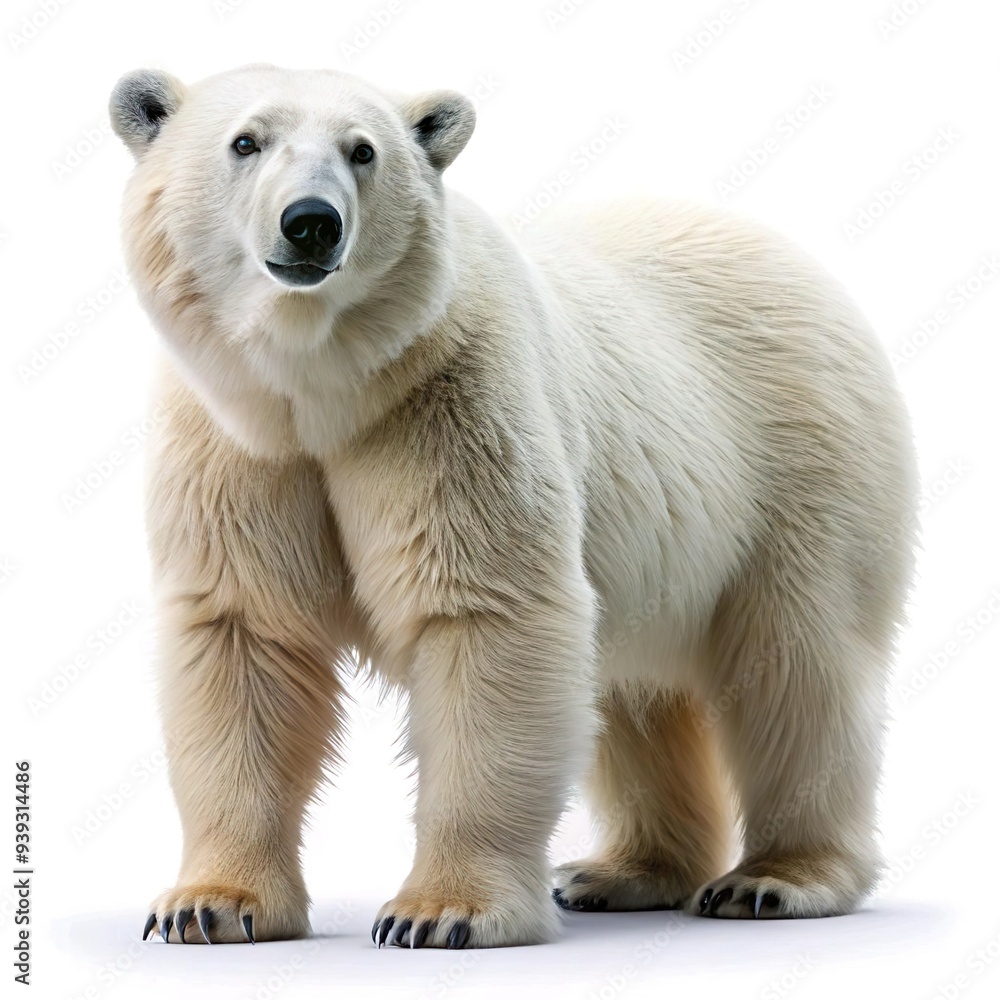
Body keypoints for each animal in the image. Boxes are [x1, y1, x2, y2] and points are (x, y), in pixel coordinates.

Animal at [109, 63, 917, 949]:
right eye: (246, 141)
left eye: (363, 151)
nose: (311, 223)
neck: (321, 394)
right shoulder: (238, 448)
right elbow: (245, 634)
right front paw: (208, 905)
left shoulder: (453, 404)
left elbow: (487, 617)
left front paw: (440, 913)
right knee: (634, 691)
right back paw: (619, 872)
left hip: (803, 459)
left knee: (796, 665)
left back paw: (774, 878)